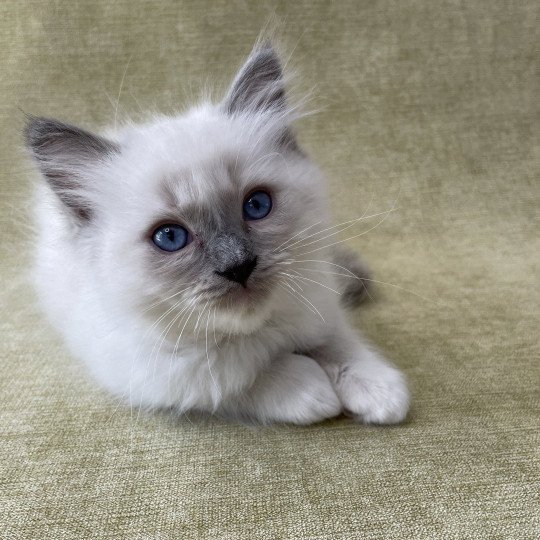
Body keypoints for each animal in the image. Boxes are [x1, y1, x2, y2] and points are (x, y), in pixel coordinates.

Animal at [26, 45, 410, 426]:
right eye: (169, 237)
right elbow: (236, 378)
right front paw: (314, 391)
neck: (260, 329)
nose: (239, 267)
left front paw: (381, 393)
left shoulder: (319, 303)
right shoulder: (157, 373)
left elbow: (341, 344)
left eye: (256, 205)